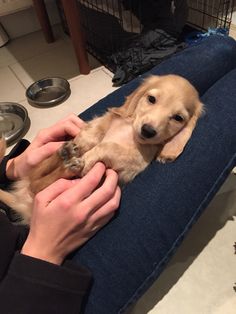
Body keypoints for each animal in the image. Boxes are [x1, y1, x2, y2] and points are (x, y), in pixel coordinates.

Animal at [0, 75, 203, 224]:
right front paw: (83, 143)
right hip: (41, 161)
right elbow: (95, 133)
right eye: (151, 99)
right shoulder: (104, 122)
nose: (148, 131)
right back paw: (66, 153)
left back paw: (68, 164)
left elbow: (108, 145)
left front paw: (89, 158)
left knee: (38, 184)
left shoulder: (136, 161)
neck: (129, 131)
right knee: (37, 180)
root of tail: (24, 202)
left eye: (178, 118)